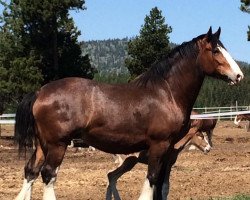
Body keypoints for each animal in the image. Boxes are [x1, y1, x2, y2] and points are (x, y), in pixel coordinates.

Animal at [14, 27, 243, 200]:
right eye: (215, 50)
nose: (239, 75)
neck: (166, 92)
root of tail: (40, 92)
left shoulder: (168, 149)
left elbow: (162, 185)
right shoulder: (159, 145)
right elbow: (152, 179)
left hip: (42, 144)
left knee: (31, 172)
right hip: (57, 145)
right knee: (48, 175)